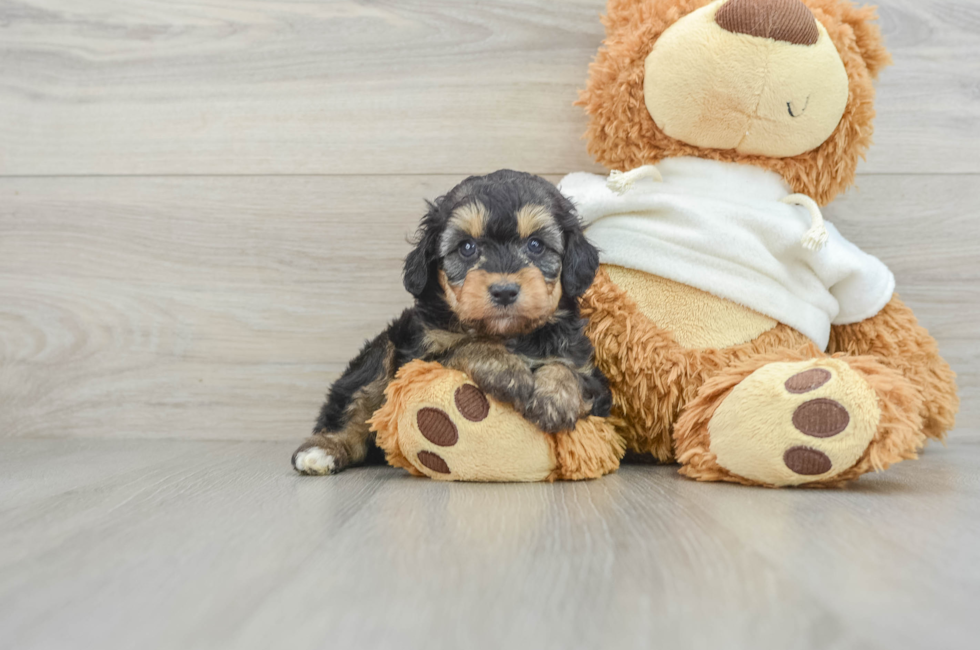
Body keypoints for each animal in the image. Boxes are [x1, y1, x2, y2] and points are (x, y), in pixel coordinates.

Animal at [292, 171, 612, 476]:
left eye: (536, 245)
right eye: (466, 247)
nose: (504, 290)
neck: (507, 334)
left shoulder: (591, 375)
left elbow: (571, 371)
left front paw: (554, 399)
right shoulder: (420, 358)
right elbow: (465, 346)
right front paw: (506, 370)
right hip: (383, 350)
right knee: (356, 404)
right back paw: (322, 451)